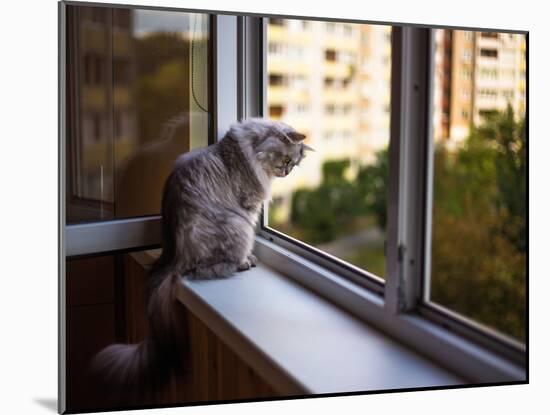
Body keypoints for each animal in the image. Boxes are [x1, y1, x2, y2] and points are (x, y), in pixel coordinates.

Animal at [92, 118, 312, 404]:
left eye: (294, 164)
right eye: (286, 160)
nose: (286, 172)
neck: (252, 146)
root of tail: (175, 259)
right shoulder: (250, 206)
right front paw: (249, 258)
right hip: (238, 226)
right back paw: (243, 263)